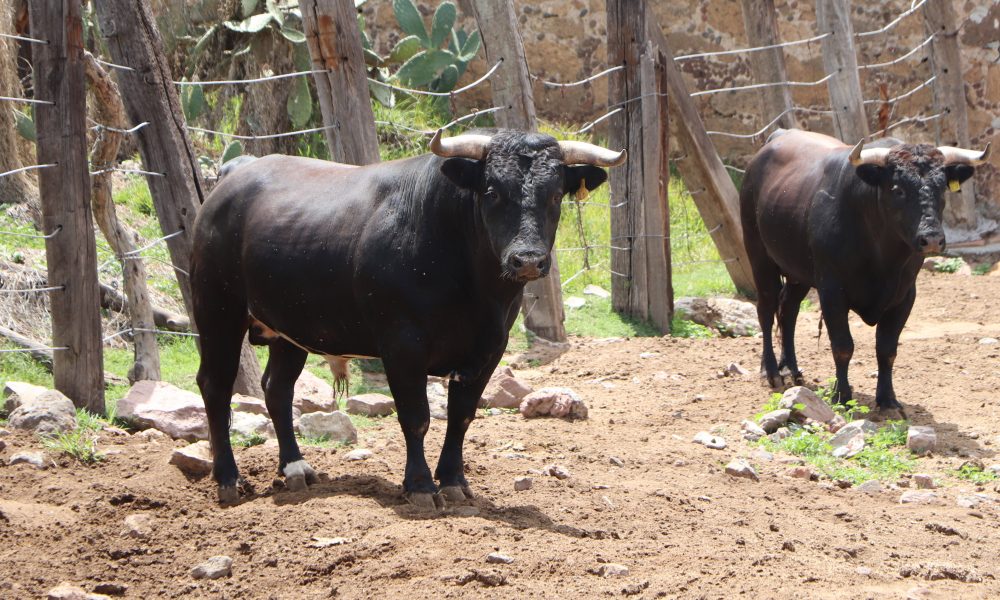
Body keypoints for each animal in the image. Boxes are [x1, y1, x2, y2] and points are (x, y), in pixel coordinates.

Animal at [190, 129, 625, 506]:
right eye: (491, 191)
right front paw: (420, 486)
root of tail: (237, 171)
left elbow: (461, 417)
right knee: (215, 386)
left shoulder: (490, 348)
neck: (475, 289)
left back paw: (296, 468)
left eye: (555, 195)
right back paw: (228, 479)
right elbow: (416, 417)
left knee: (277, 388)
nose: (528, 259)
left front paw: (453, 482)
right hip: (217, 311)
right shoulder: (402, 345)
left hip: (290, 328)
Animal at [740, 128, 990, 416]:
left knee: (788, 310)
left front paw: (888, 400)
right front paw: (842, 396)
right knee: (766, 309)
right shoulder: (832, 291)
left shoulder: (905, 295)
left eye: (942, 189)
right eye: (897, 189)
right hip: (759, 256)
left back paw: (791, 368)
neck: (883, 258)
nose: (932, 239)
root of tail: (778, 136)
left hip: (798, 272)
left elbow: (887, 349)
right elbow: (842, 346)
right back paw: (771, 372)